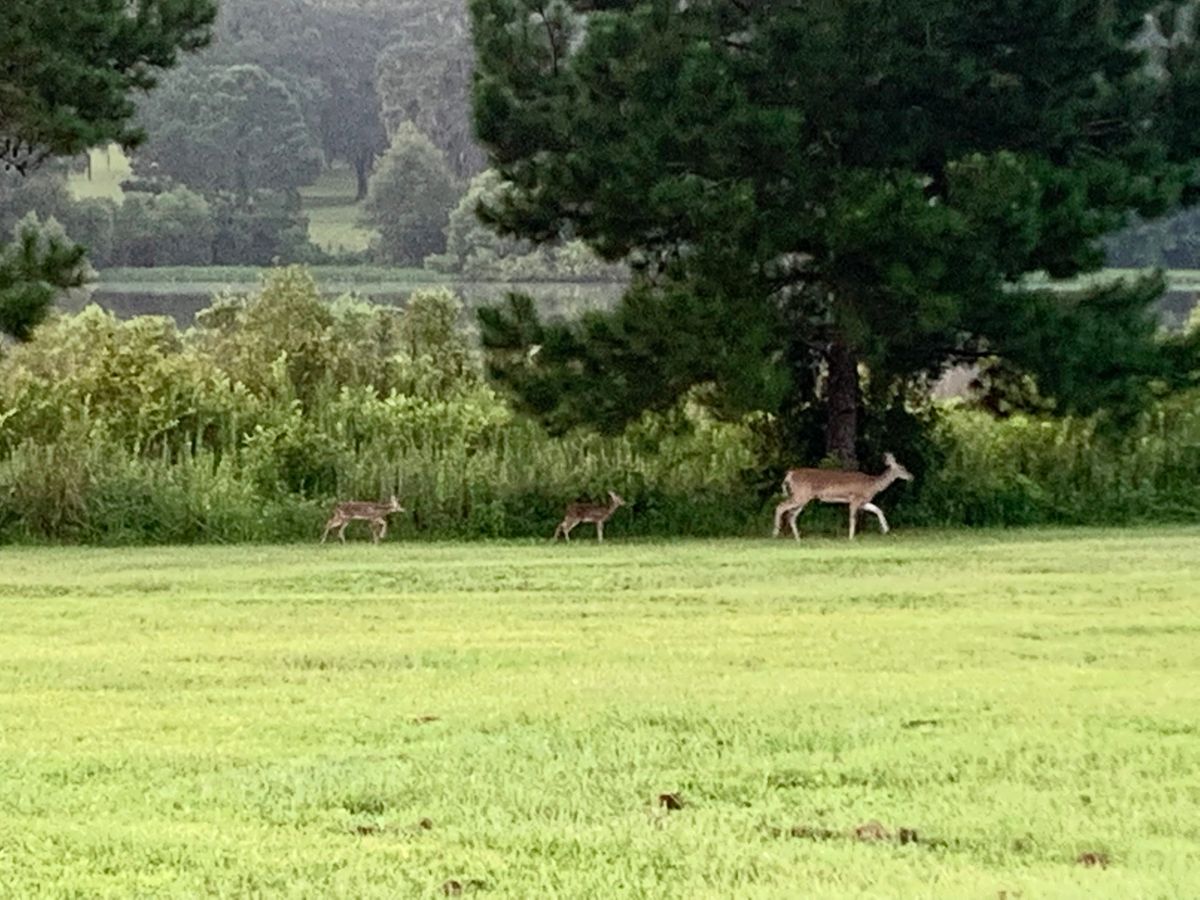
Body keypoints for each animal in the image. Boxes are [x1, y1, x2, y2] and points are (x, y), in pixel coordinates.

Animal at [772, 453, 912, 540]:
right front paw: (850, 538)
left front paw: (886, 529)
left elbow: (878, 509)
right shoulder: (855, 499)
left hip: (803, 498)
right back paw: (775, 533)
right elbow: (852, 518)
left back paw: (798, 539)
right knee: (780, 506)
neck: (872, 485)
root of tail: (789, 474)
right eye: (902, 467)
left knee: (791, 515)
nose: (912, 476)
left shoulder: (863, 502)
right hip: (801, 495)